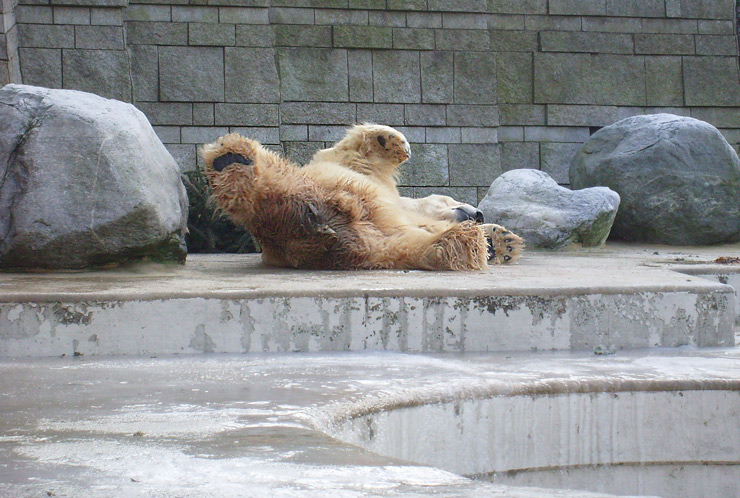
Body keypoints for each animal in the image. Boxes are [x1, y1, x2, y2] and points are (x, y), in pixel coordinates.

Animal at [202, 125, 524, 272]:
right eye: (449, 197)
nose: (479, 214)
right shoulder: (357, 169)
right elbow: (355, 150)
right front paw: (389, 139)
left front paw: (501, 242)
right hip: (304, 187)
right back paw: (232, 159)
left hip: (368, 238)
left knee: (407, 247)